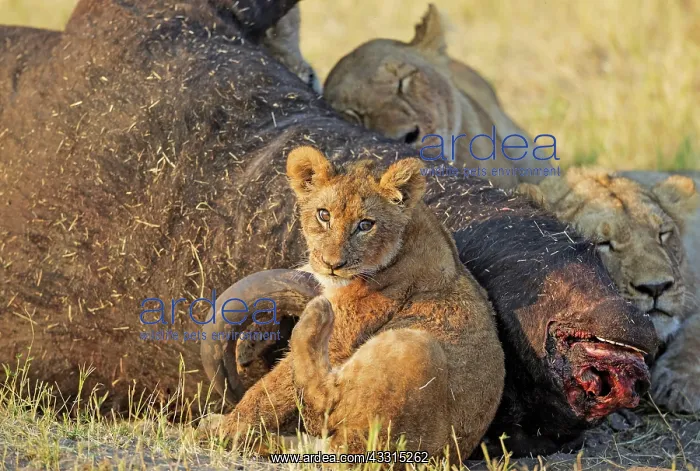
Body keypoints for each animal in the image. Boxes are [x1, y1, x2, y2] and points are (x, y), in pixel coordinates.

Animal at [215, 146, 504, 458]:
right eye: (323, 215)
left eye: (365, 225)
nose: (332, 264)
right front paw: (251, 342)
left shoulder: (344, 331)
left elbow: (270, 390)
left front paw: (229, 429)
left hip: (413, 346)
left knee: (324, 403)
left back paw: (313, 318)